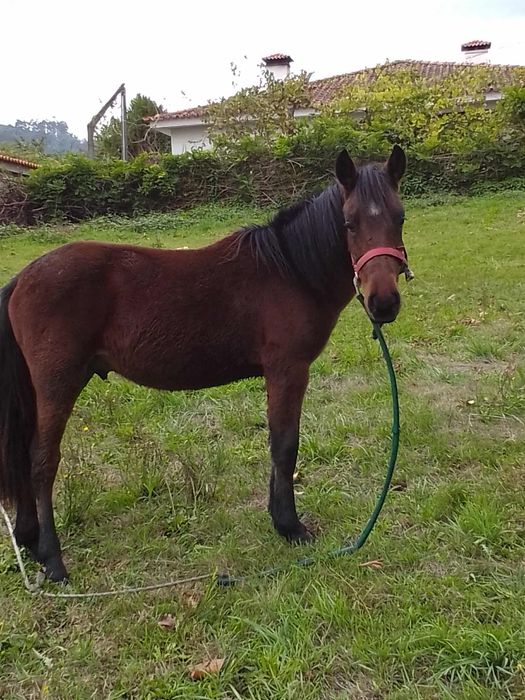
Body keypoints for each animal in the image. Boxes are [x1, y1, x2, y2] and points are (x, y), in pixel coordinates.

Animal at [0, 146, 409, 582]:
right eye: (349, 223)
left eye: (400, 217)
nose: (383, 303)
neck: (291, 270)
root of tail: (23, 278)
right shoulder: (288, 370)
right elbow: (285, 445)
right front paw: (290, 526)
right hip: (58, 385)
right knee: (42, 461)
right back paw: (53, 559)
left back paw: (29, 539)